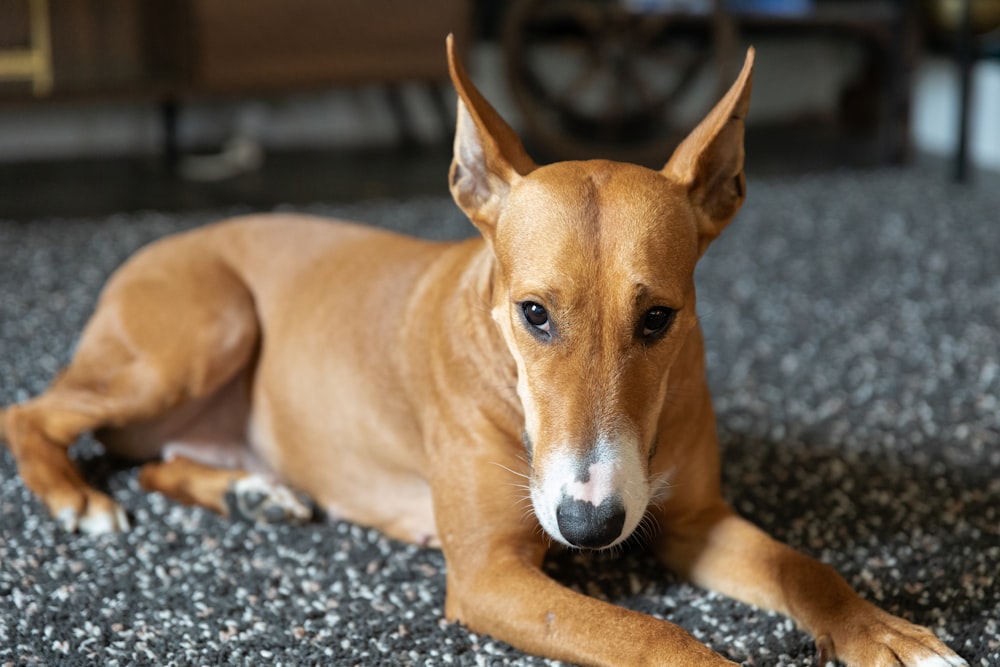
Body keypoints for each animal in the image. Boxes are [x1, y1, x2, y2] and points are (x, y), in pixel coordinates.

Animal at [1, 37, 968, 667]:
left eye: (659, 319)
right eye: (533, 313)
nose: (591, 524)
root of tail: (157, 243)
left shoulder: (695, 521)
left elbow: (804, 563)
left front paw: (883, 630)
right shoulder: (489, 573)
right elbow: (653, 633)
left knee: (157, 458)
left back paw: (249, 490)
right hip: (205, 331)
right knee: (33, 411)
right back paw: (74, 495)